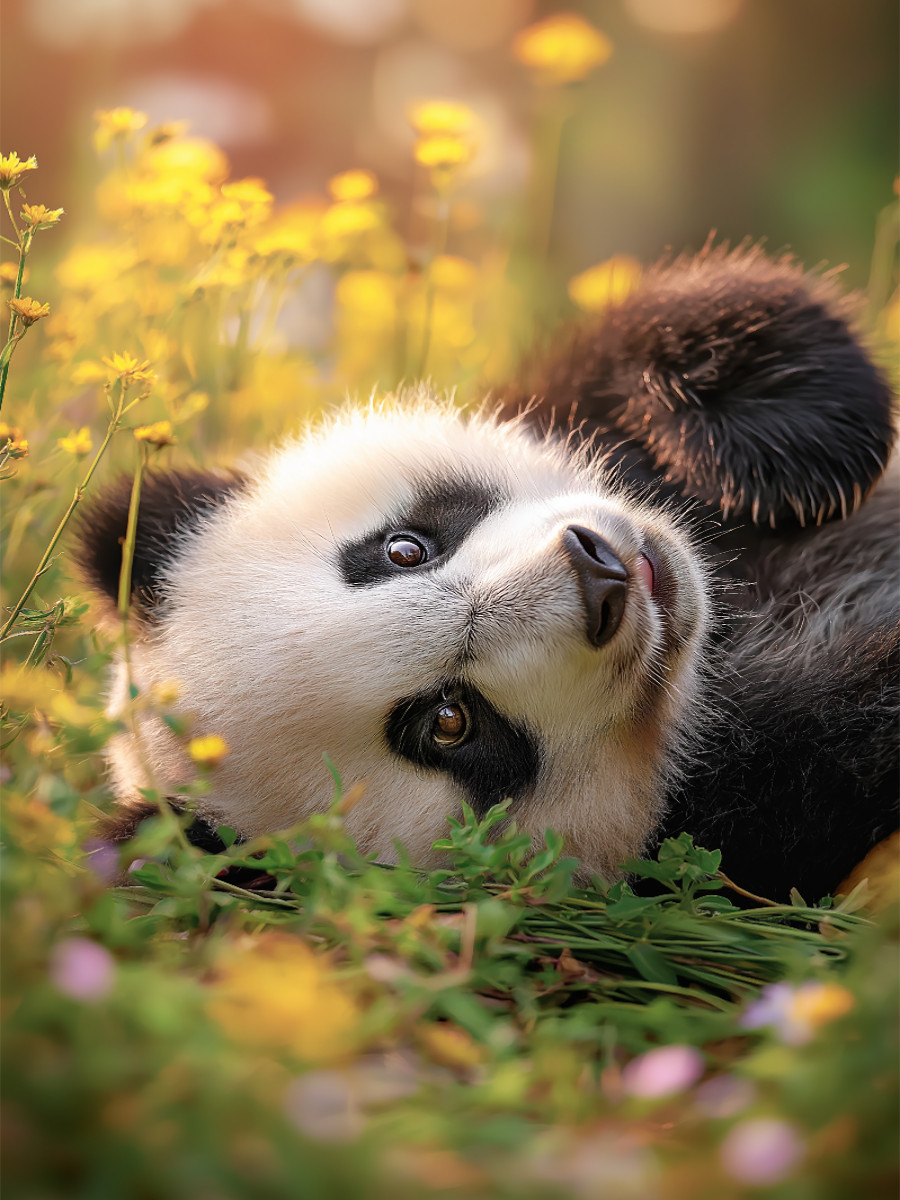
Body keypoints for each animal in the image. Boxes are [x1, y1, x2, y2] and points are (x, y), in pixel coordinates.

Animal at [76, 243, 899, 902]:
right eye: (448, 723)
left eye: (403, 549)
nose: (602, 577)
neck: (724, 622)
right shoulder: (746, 820)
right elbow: (835, 751)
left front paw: (795, 444)